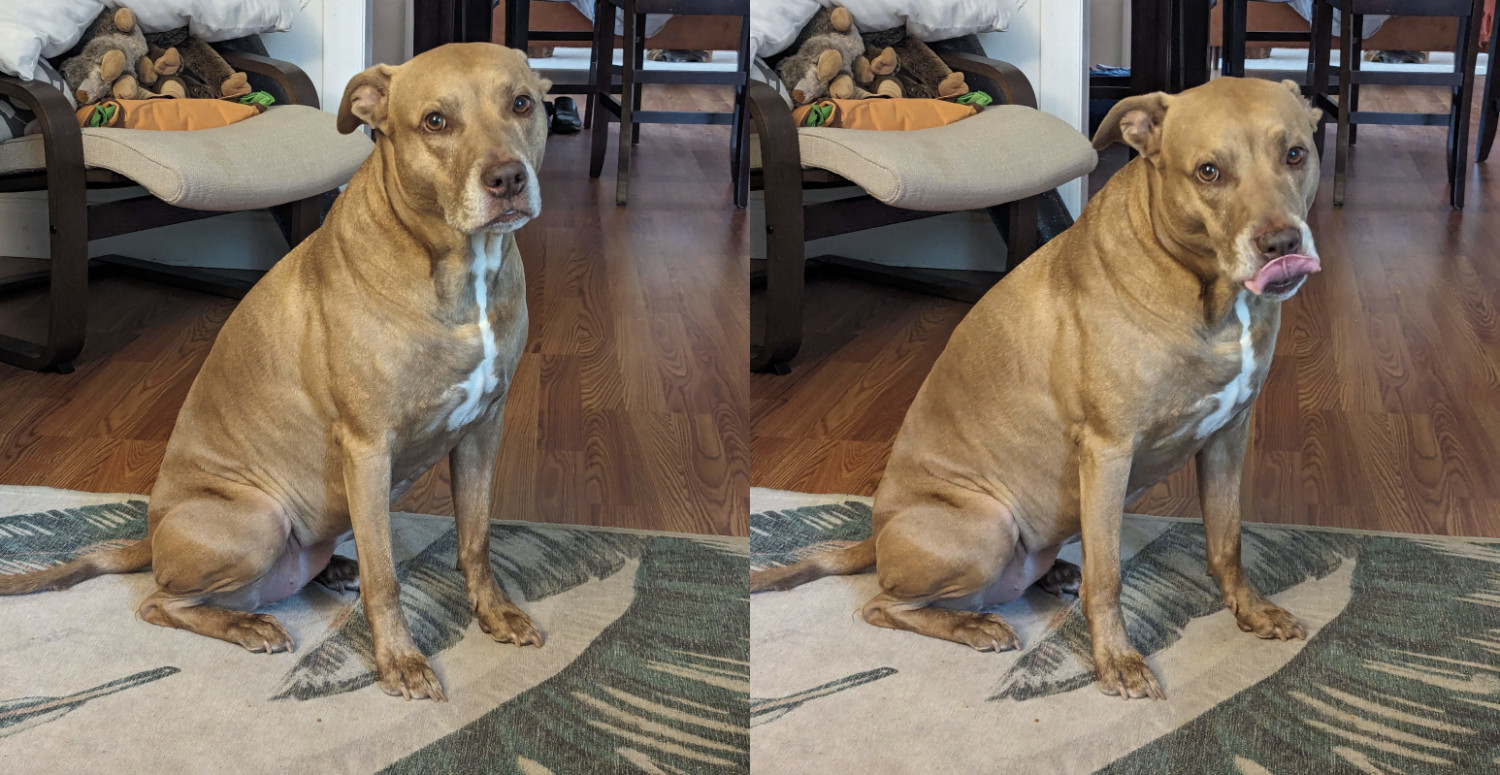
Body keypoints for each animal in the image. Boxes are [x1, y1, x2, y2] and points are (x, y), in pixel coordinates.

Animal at [0, 45, 555, 704]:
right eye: (435, 122)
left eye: (521, 103)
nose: (508, 180)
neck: (460, 266)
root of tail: (150, 534)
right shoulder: (368, 448)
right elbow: (387, 576)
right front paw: (399, 660)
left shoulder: (482, 429)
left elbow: (476, 537)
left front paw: (495, 613)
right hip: (260, 518)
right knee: (160, 602)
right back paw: (248, 625)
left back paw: (333, 567)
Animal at [756, 78, 1320, 701]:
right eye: (1208, 172)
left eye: (1295, 154)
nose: (1282, 243)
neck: (1207, 293)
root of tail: (876, 536)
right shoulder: (1107, 451)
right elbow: (1109, 576)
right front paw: (1117, 660)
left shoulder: (1227, 435)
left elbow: (1227, 540)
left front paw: (1252, 612)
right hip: (988, 523)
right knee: (883, 605)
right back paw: (974, 624)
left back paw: (1055, 574)